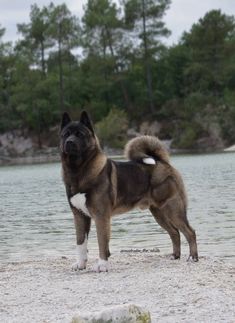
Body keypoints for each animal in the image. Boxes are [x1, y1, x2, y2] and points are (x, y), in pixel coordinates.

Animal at [59, 112, 197, 272]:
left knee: (189, 232)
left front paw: (102, 265)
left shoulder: (101, 216)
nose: (70, 142)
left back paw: (193, 258)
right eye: (66, 134)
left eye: (80, 134)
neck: (78, 170)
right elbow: (80, 243)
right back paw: (175, 256)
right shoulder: (79, 216)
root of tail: (162, 162)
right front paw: (81, 264)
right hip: (159, 213)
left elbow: (101, 241)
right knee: (174, 232)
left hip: (172, 208)